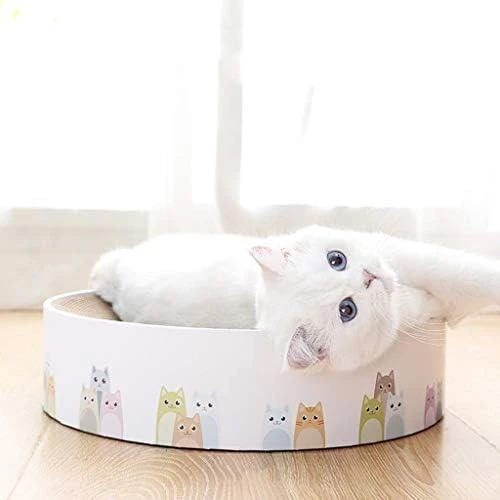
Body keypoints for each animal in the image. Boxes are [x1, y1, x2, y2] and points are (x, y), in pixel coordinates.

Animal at [91, 225, 500, 372]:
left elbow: (464, 274)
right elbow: (468, 283)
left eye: (336, 259)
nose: (369, 276)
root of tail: (117, 276)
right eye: (347, 310)